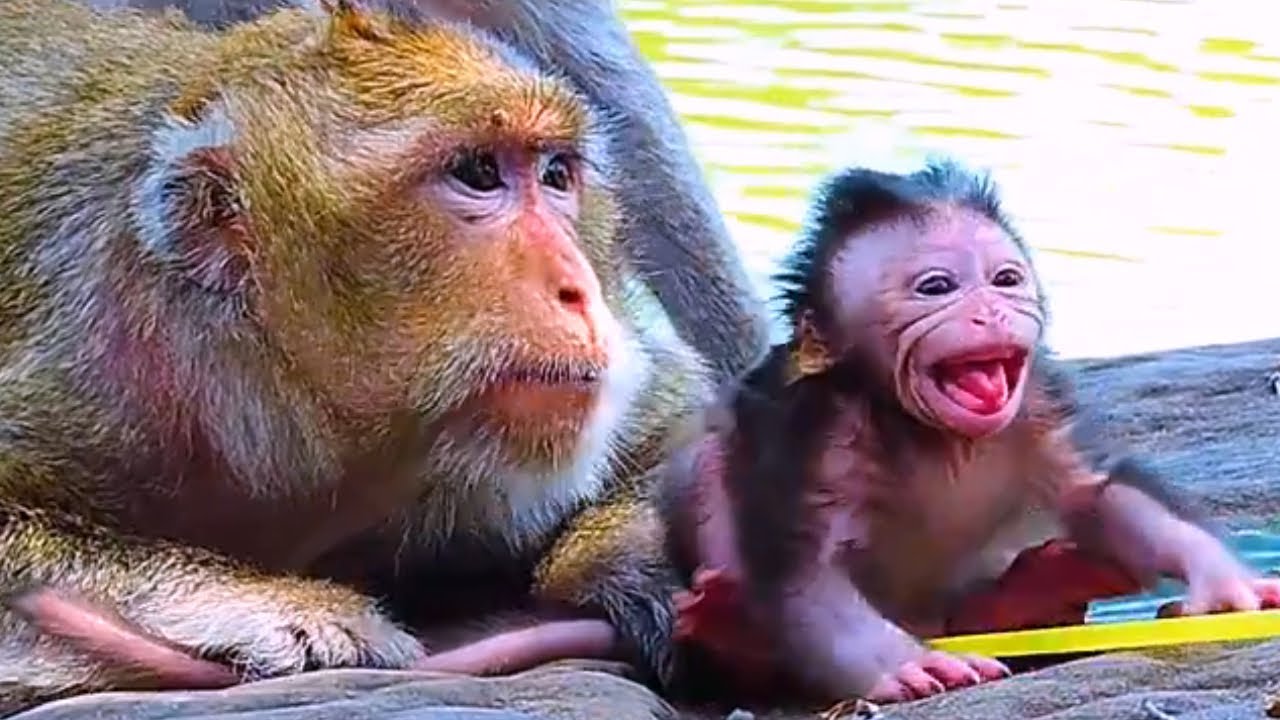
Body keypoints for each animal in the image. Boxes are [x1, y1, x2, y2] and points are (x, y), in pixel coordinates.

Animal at [657, 157, 1280, 706]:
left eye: (1005, 280)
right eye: (937, 287)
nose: (991, 311)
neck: (939, 434)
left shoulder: (1038, 400)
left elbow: (1099, 494)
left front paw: (1226, 585)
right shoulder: (819, 427)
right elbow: (805, 570)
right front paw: (906, 666)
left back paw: (1037, 591)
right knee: (708, 466)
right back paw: (729, 628)